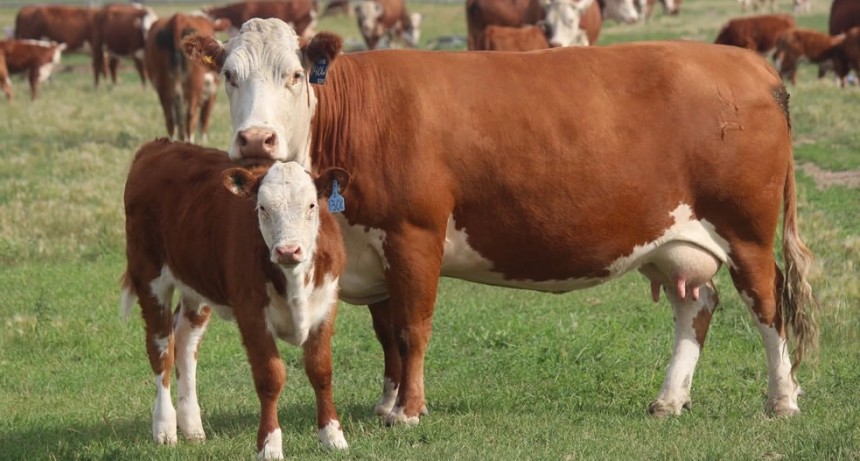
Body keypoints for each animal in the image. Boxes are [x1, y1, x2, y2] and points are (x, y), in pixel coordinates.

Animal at [121, 139, 351, 459]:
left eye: (312, 205)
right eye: (262, 208)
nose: (288, 250)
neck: (293, 280)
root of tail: (159, 146)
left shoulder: (326, 306)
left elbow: (321, 371)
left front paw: (332, 435)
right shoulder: (251, 313)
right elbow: (270, 377)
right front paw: (269, 445)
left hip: (197, 287)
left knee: (185, 344)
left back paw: (192, 427)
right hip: (150, 277)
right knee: (161, 349)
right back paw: (165, 428)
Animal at [145, 13, 230, 143]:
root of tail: (178, 19)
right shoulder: (212, 91)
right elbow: (204, 118)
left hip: (164, 86)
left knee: (171, 118)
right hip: (193, 86)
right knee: (191, 116)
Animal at [184, 18, 819, 427]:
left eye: (293, 74)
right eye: (230, 75)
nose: (256, 140)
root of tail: (748, 63)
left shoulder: (414, 233)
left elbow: (413, 328)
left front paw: (408, 412)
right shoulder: (372, 247)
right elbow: (387, 332)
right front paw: (387, 403)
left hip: (746, 229)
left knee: (768, 303)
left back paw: (783, 399)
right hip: (674, 237)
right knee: (697, 305)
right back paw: (670, 399)